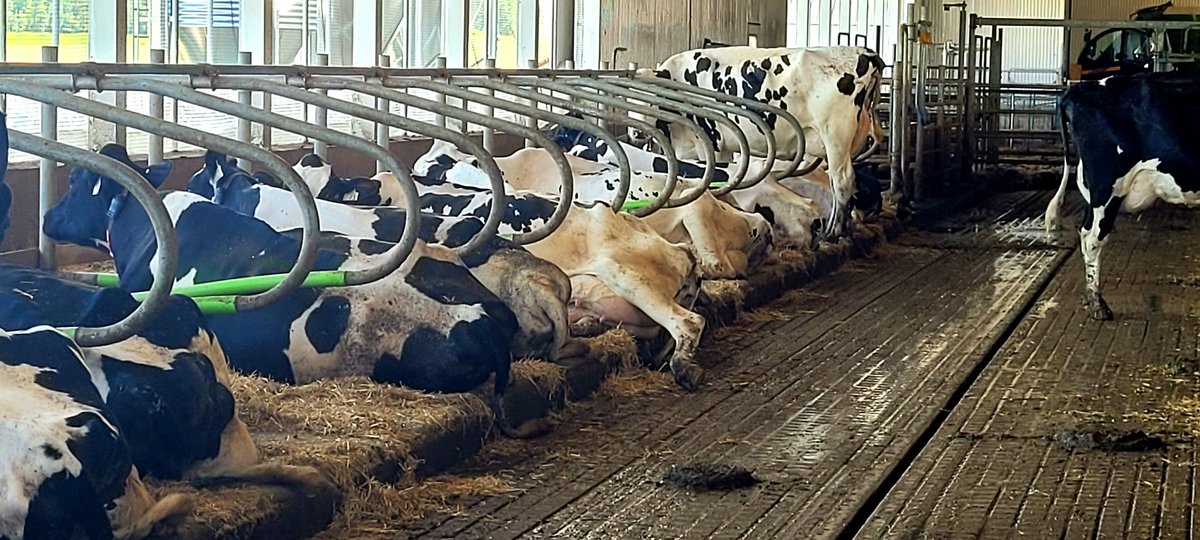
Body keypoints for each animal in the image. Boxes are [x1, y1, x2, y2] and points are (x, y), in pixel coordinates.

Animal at [647, 46, 886, 240]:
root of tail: (864, 53)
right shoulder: (718, 145)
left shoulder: (709, 140)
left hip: (835, 136)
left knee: (843, 182)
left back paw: (834, 232)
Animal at [1045, 72, 1200, 320]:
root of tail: (1080, 89)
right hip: (1106, 187)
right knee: (1093, 239)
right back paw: (1098, 305)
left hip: (1094, 191)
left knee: (1085, 232)